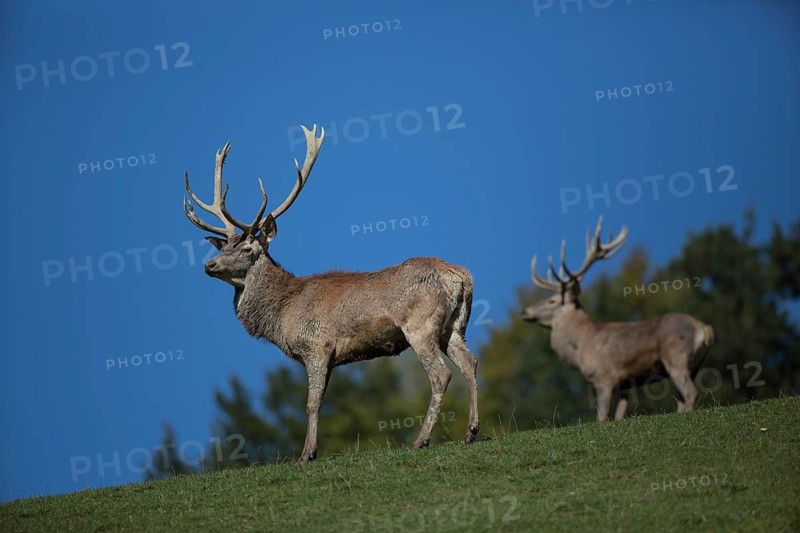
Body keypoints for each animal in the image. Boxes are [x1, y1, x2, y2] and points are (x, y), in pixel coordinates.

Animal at [182, 125, 480, 463]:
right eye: (223, 247)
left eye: (247, 249)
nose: (209, 264)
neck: (281, 314)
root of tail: (460, 276)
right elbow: (320, 400)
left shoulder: (316, 345)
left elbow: (311, 403)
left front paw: (306, 454)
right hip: (454, 326)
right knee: (470, 362)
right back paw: (471, 431)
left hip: (420, 324)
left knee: (441, 374)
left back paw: (421, 440)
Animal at [521, 216, 714, 421]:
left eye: (552, 300)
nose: (525, 311)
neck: (582, 345)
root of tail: (704, 328)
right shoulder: (625, 383)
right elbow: (619, 415)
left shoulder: (603, 377)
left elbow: (601, 417)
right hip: (695, 366)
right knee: (682, 399)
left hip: (676, 357)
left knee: (690, 393)